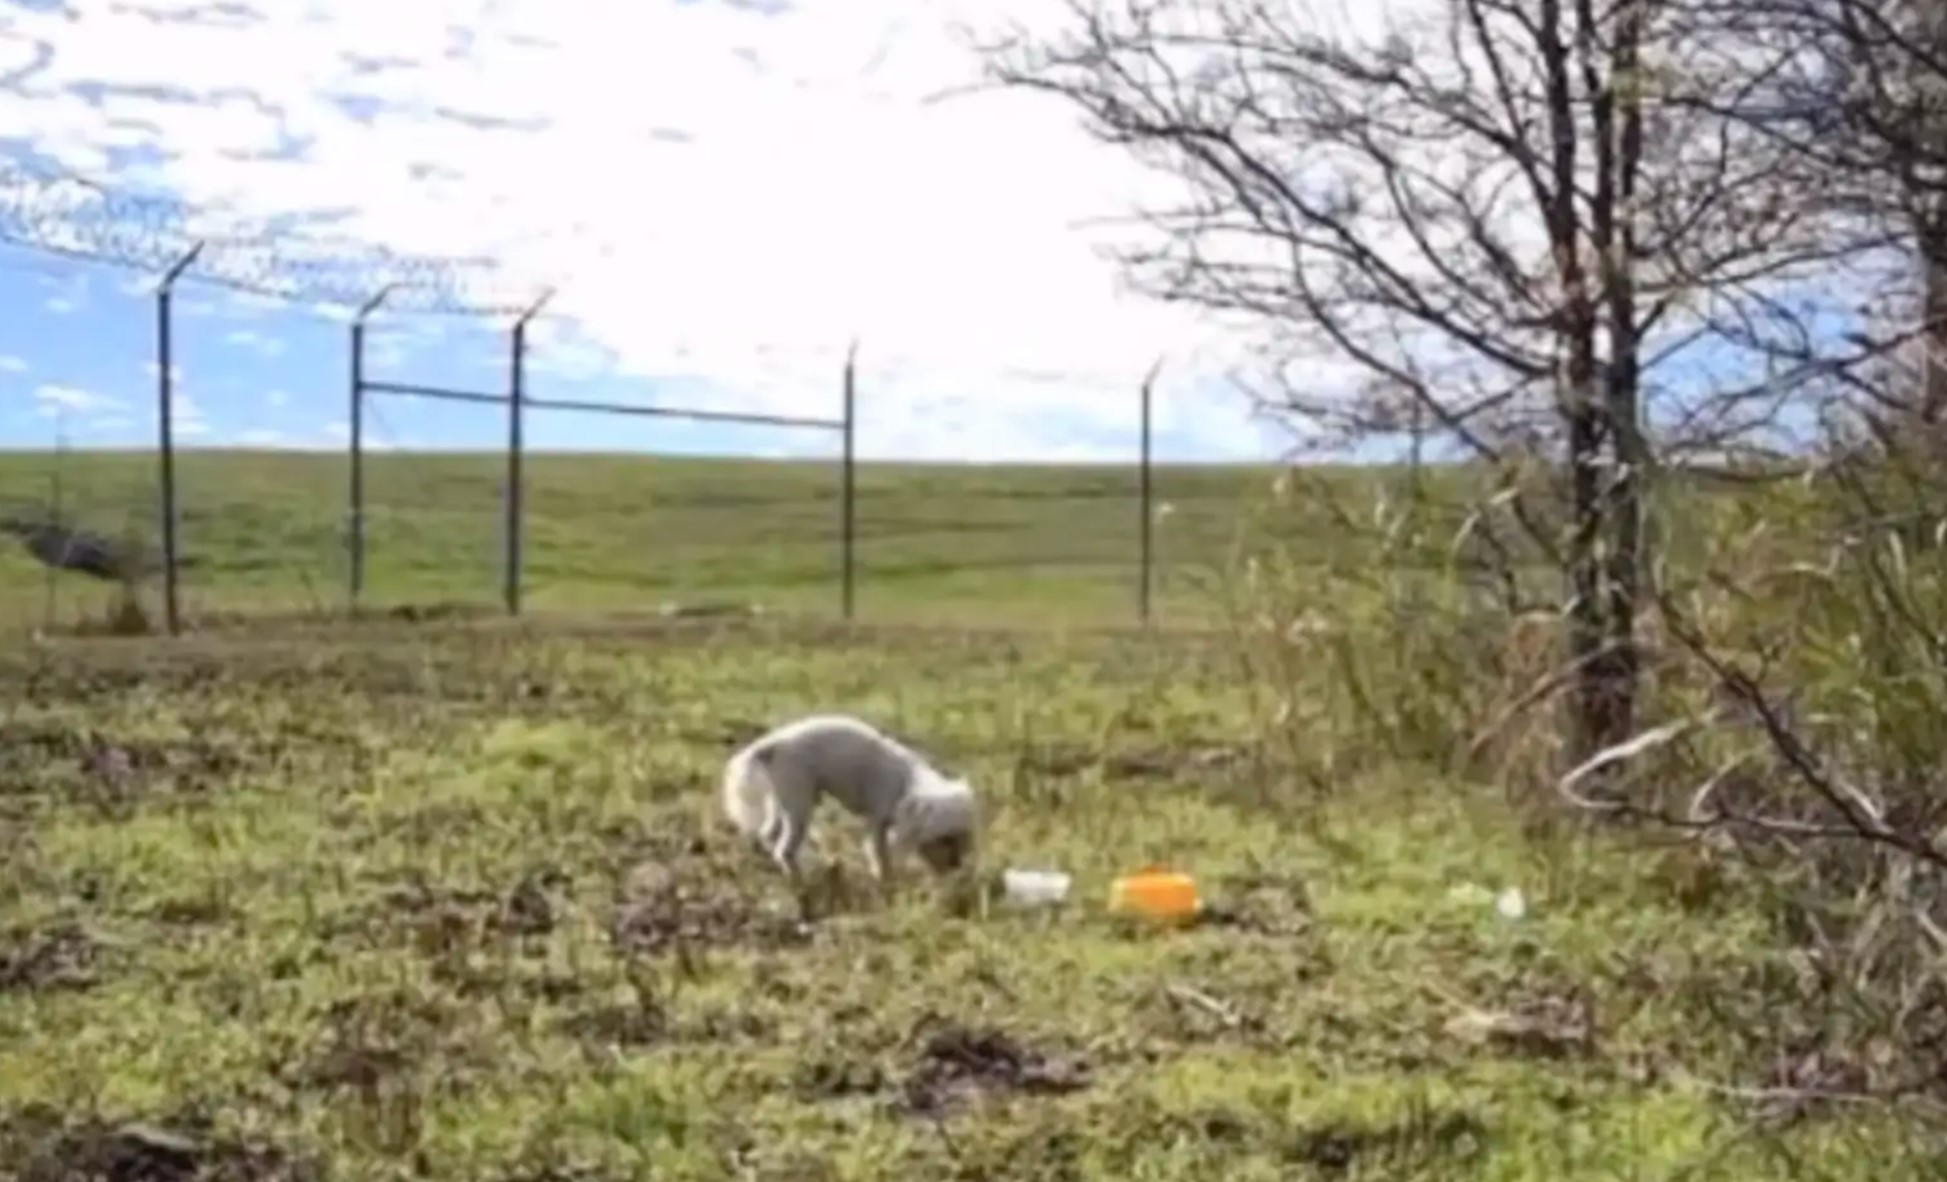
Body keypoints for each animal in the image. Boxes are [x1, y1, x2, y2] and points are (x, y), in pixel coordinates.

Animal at [724, 712, 981, 887]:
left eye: (962, 837)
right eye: (943, 839)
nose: (956, 865)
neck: (905, 781)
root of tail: (771, 746)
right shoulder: (877, 820)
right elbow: (878, 853)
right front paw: (885, 879)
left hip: (783, 801)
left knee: (768, 834)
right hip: (799, 804)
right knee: (784, 849)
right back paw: (799, 879)